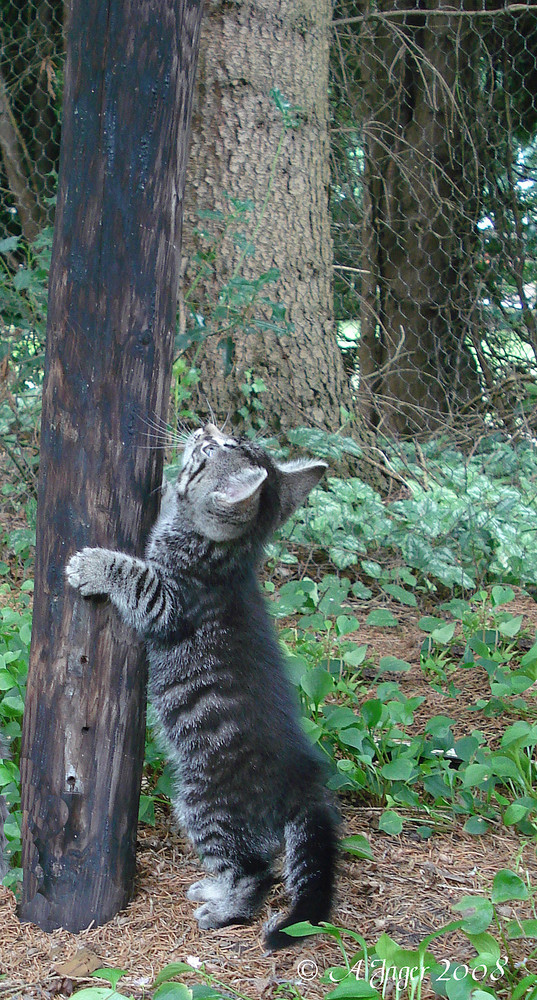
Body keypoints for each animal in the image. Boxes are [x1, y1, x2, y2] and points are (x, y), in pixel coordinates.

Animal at [66, 424, 336, 952]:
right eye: (225, 438)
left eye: (213, 449)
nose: (206, 428)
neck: (223, 555)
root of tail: (302, 775)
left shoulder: (171, 601)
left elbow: (136, 576)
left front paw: (96, 566)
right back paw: (214, 888)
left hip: (203, 802)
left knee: (254, 871)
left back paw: (225, 909)